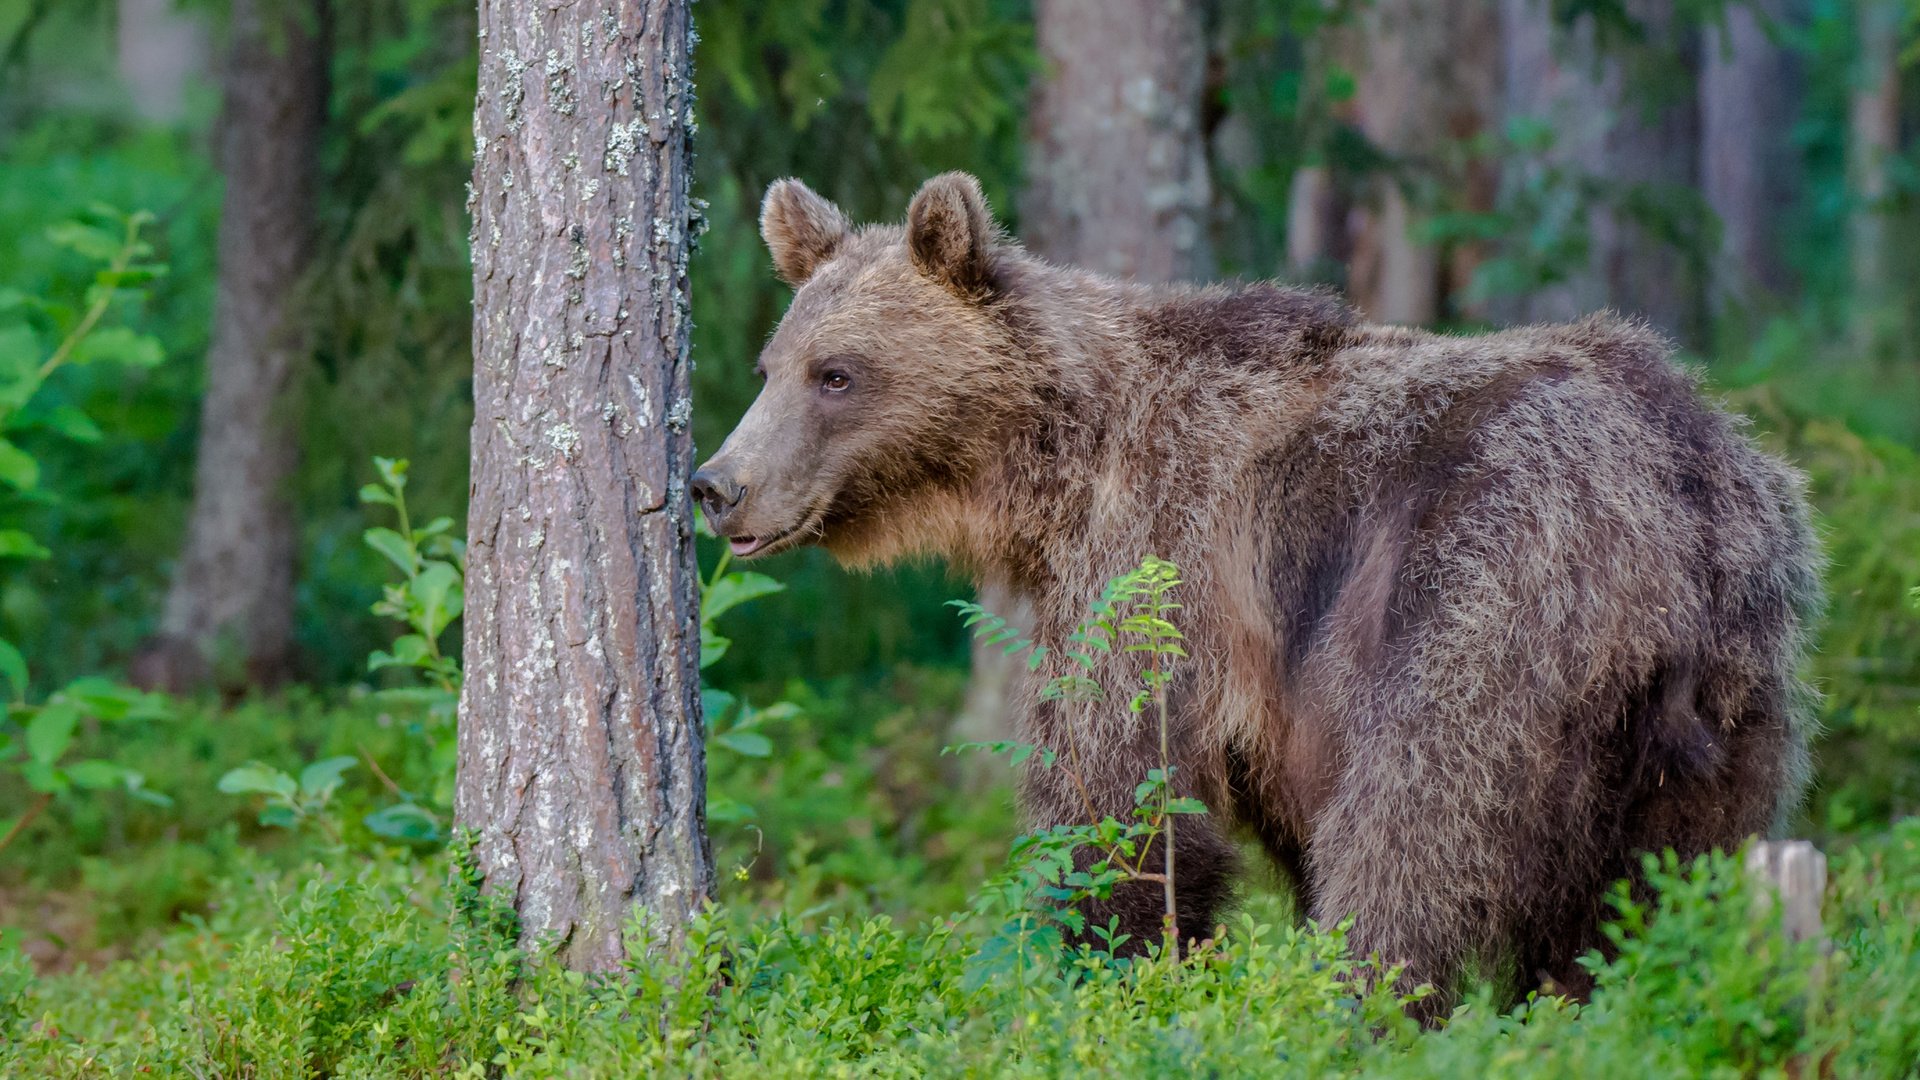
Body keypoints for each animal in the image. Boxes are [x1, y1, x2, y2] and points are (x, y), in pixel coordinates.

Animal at [691, 168, 1812, 1006]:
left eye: (837, 374)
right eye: (769, 364)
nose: (717, 484)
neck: (1053, 466)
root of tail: (1673, 494)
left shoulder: (1158, 563)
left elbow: (1118, 797)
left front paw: (1105, 971)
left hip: (1488, 599)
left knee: (1415, 835)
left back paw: (1360, 1006)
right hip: (1729, 697)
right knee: (1662, 887)